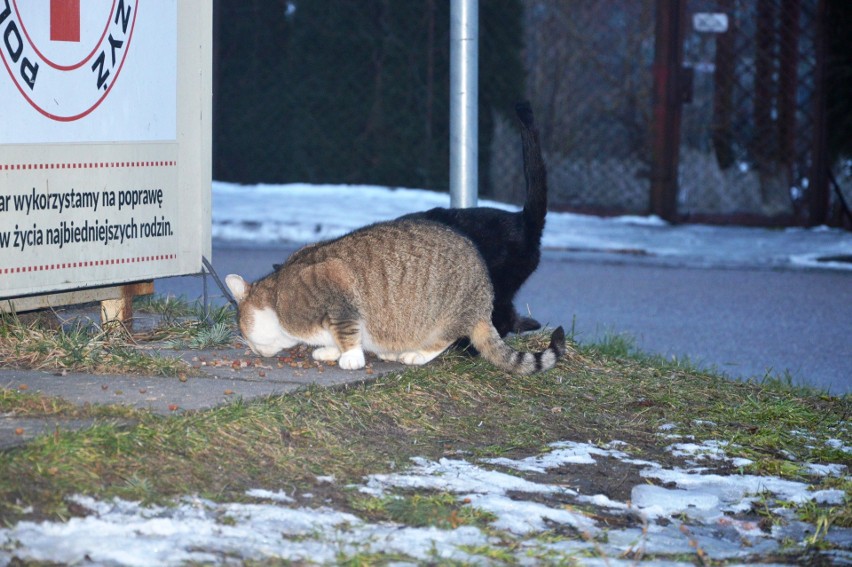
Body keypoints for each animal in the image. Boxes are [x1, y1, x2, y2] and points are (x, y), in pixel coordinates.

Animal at [225, 220, 564, 374]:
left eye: (247, 334)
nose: (254, 350)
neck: (277, 295)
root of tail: (485, 296)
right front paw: (330, 349)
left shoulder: (337, 290)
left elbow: (347, 331)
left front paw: (349, 356)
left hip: (445, 316)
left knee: (445, 340)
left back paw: (416, 354)